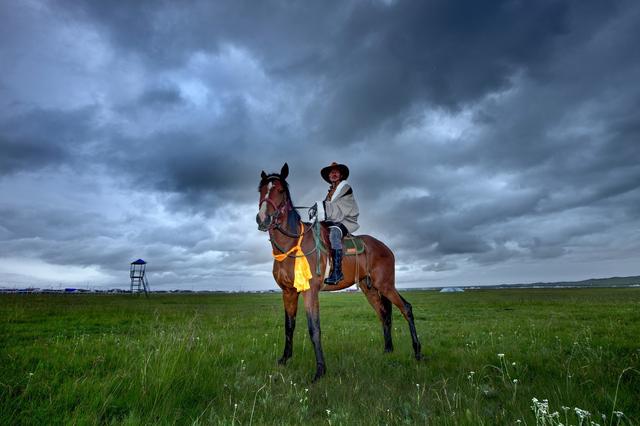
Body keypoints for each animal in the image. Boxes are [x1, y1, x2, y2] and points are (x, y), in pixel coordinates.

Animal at [258, 164, 422, 382]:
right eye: (260, 190)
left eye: (281, 190)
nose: (263, 218)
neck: (292, 245)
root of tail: (385, 247)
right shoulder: (288, 292)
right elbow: (289, 326)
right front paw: (285, 359)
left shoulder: (310, 291)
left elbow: (314, 328)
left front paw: (320, 370)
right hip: (370, 289)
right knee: (383, 313)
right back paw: (388, 349)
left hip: (386, 285)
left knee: (406, 308)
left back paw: (418, 352)